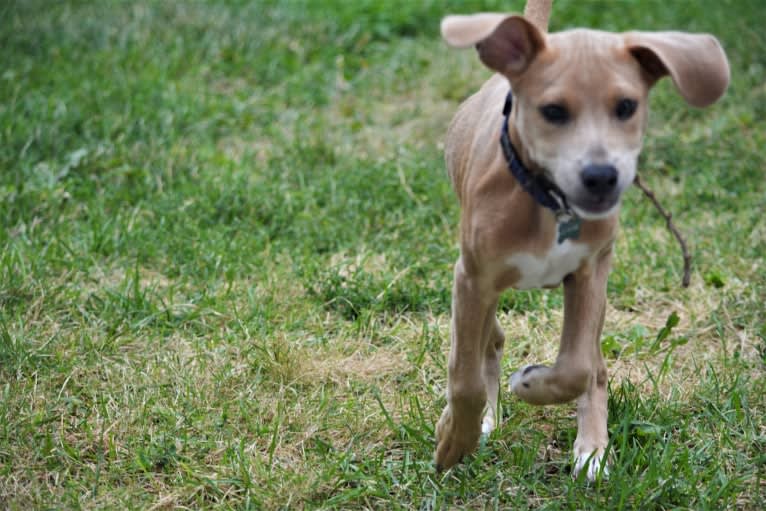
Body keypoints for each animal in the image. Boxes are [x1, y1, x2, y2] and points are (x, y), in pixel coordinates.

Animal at [436, 14, 728, 482]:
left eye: (626, 106)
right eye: (553, 111)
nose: (602, 176)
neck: (549, 202)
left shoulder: (589, 274)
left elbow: (577, 368)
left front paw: (533, 385)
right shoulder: (472, 279)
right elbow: (465, 378)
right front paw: (454, 440)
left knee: (595, 366)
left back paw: (592, 449)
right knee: (491, 340)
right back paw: (488, 418)